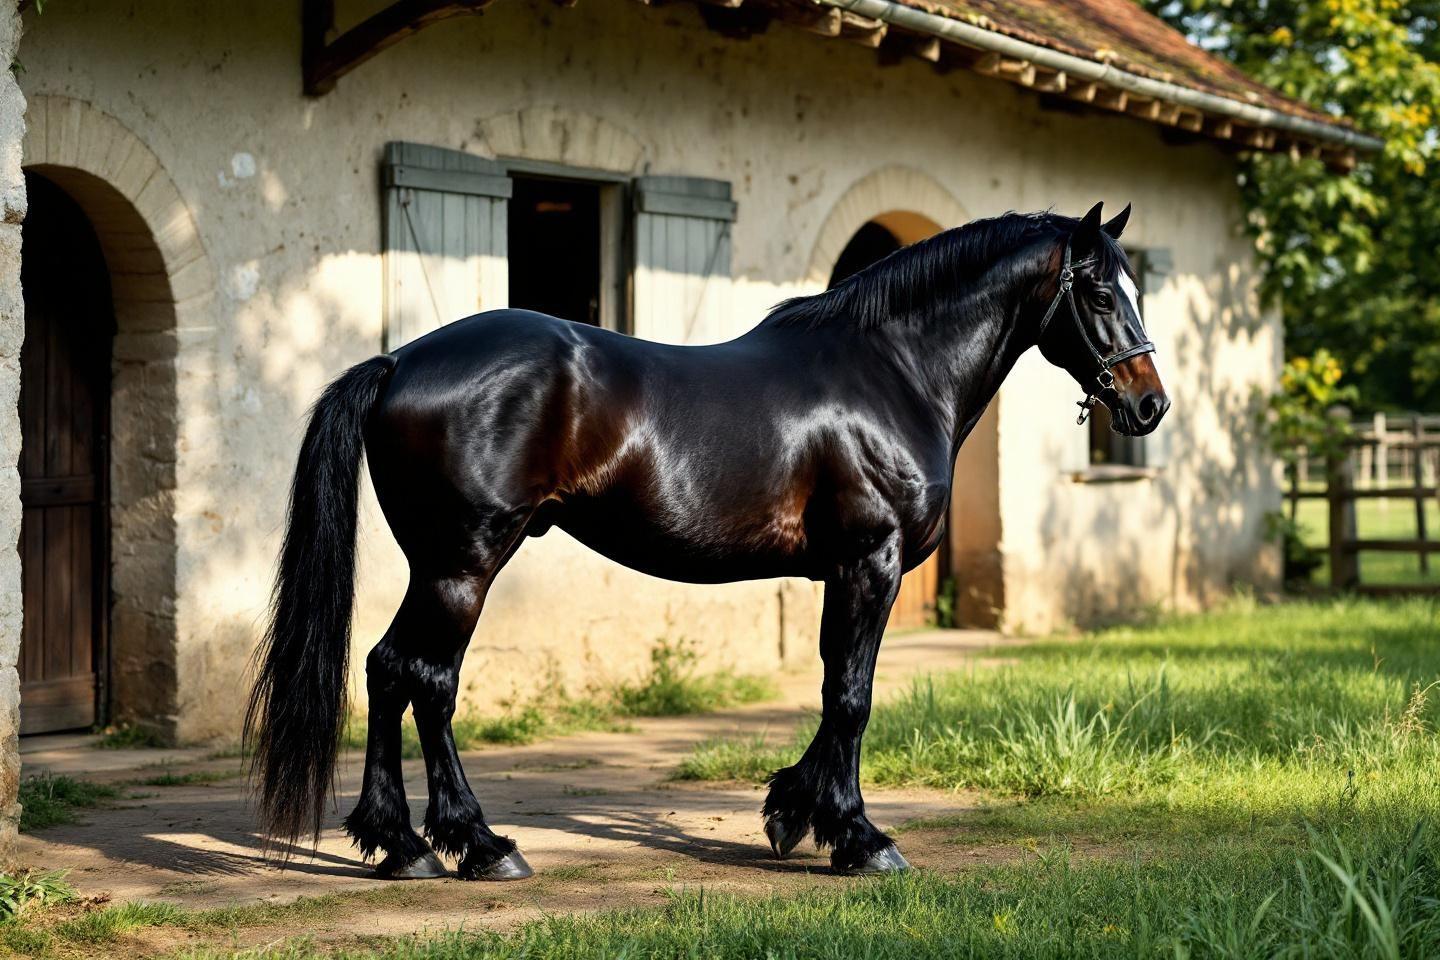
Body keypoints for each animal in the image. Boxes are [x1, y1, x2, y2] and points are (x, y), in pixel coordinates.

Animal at [245, 200, 1169, 881]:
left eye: (1137, 289)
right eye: (1099, 295)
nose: (1149, 403)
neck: (892, 372)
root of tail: (398, 362)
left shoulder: (845, 573)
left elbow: (834, 691)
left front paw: (793, 812)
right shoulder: (870, 563)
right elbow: (853, 696)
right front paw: (860, 838)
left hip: (441, 566)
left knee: (388, 672)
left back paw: (403, 848)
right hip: (463, 564)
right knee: (423, 679)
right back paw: (471, 846)